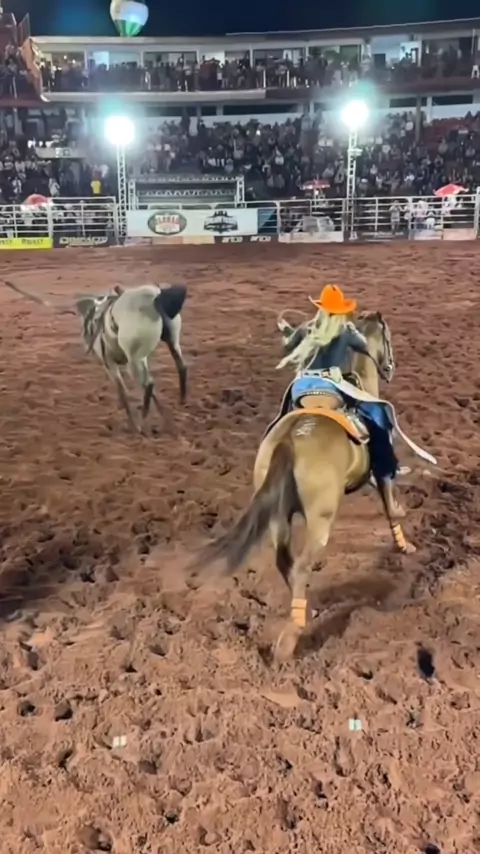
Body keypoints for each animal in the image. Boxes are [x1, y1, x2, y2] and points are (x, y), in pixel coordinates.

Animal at [75, 283, 187, 433]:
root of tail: (154, 297)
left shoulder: (110, 365)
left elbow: (123, 393)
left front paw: (133, 423)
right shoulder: (142, 361)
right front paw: (163, 415)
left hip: (133, 363)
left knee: (149, 383)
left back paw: (142, 419)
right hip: (172, 342)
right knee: (181, 367)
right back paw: (182, 401)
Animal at [191, 312, 428, 659]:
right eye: (388, 338)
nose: (390, 367)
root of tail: (291, 438)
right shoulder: (381, 466)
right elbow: (388, 500)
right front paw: (404, 542)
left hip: (279, 516)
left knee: (285, 561)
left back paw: (304, 609)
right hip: (319, 522)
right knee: (302, 565)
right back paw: (291, 637)